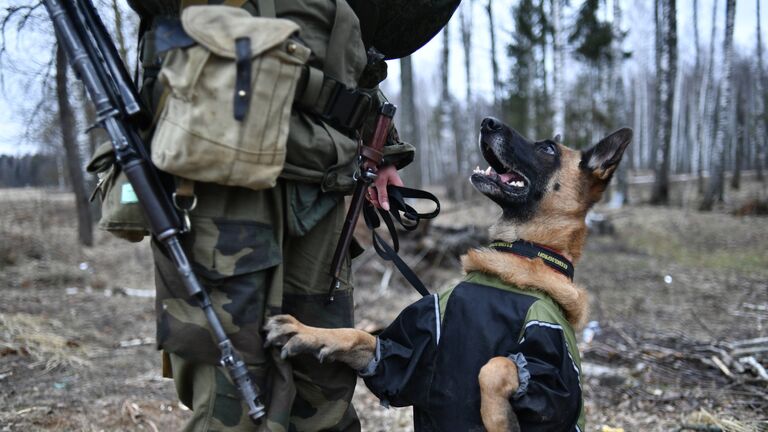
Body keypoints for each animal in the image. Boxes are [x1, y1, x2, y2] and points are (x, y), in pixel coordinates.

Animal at [264, 118, 632, 432]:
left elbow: (494, 366)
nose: (487, 122)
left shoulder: (552, 378)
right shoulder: (410, 350)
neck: (522, 253)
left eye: (548, 149)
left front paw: (500, 421)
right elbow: (356, 336)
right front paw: (306, 332)